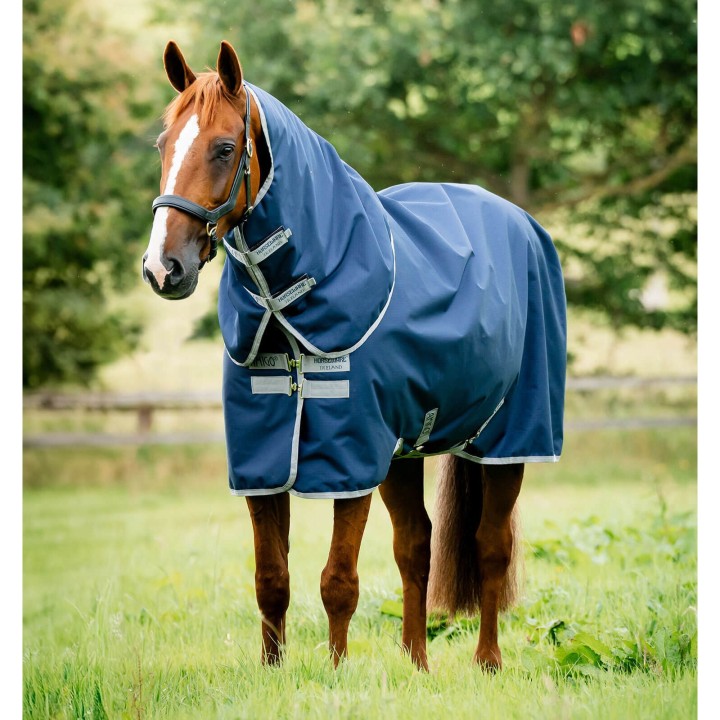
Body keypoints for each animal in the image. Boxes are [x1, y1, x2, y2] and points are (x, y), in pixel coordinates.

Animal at [142, 40, 566, 672]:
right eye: (163, 144)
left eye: (223, 148)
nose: (163, 268)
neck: (288, 308)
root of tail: (521, 222)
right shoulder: (265, 456)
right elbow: (272, 578)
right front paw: (273, 671)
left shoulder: (351, 455)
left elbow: (338, 580)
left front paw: (336, 672)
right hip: (404, 450)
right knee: (416, 544)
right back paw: (416, 662)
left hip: (509, 438)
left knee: (492, 545)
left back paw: (488, 661)